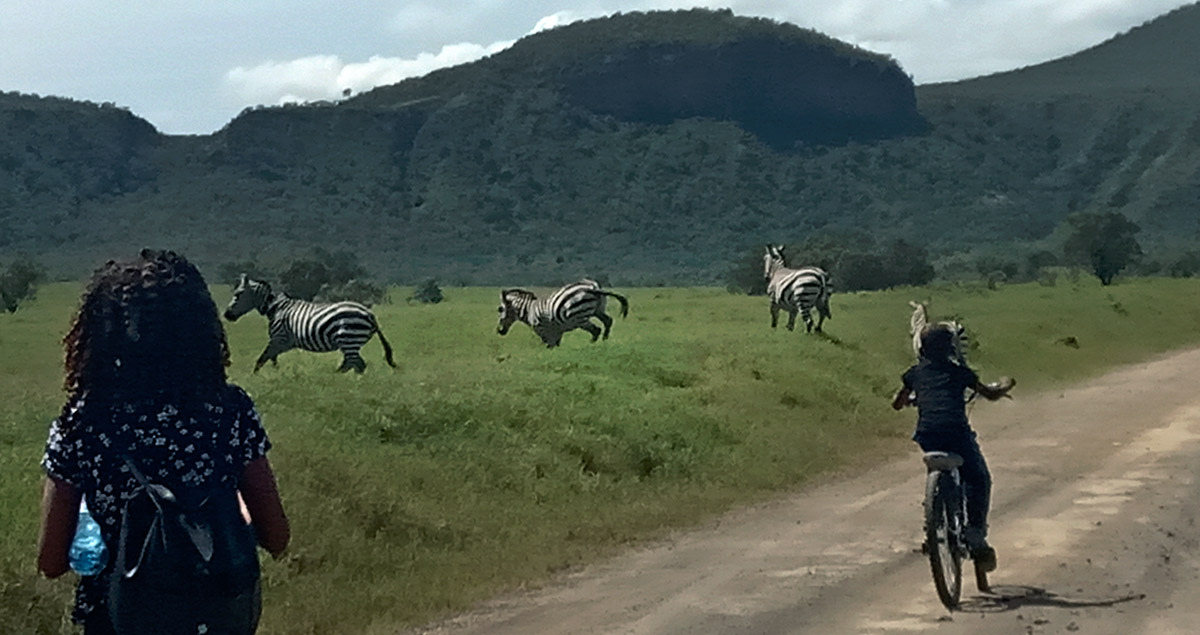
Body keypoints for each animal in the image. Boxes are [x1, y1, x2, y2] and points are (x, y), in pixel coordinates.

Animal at [223, 272, 396, 372]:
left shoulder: (278, 338)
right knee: (353, 364)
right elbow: (271, 358)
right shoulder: (285, 343)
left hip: (349, 339)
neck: (275, 307)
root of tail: (370, 314)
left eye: (238, 294)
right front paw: (277, 374)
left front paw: (257, 377)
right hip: (350, 343)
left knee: (357, 364)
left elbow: (261, 359)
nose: (226, 315)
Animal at [496, 277, 633, 345]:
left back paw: (590, 345)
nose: (499, 331)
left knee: (596, 330)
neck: (529, 309)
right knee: (608, 321)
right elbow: (556, 343)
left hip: (579, 317)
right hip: (598, 310)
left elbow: (548, 344)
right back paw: (604, 341)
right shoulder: (557, 330)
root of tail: (593, 288)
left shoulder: (542, 329)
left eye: (500, 309)